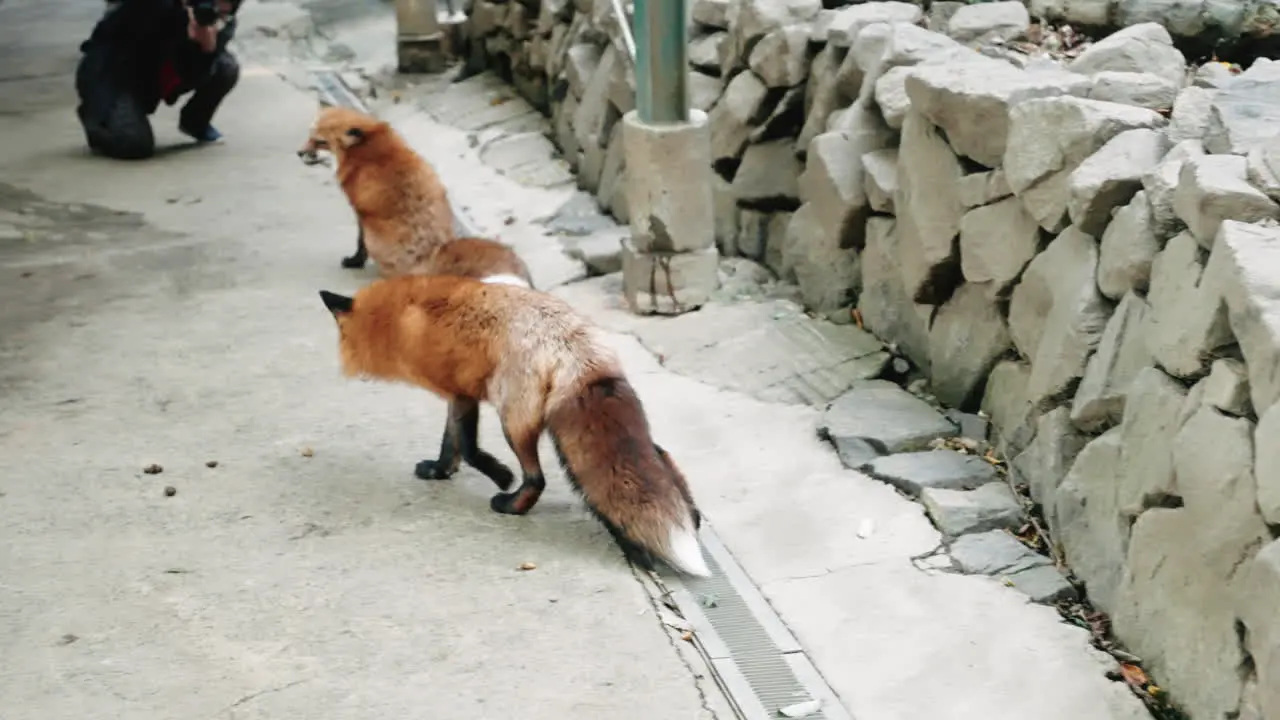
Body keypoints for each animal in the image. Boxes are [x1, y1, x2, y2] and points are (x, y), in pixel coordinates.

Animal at [296, 104, 532, 288]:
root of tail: (434, 252)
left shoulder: (360, 213)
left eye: (319, 142)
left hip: (376, 239)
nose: (298, 153)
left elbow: (360, 244)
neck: (368, 148)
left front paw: (354, 261)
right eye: (309, 136)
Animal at [312, 270, 711, 576]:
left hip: (513, 420)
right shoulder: (459, 394)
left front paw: (499, 474)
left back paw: (511, 503)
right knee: (661, 455)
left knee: (537, 478)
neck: (398, 320)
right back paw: (691, 517)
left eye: (341, 337)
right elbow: (450, 446)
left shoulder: (461, 395)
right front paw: (440, 471)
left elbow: (469, 448)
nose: (342, 367)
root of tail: (572, 340)